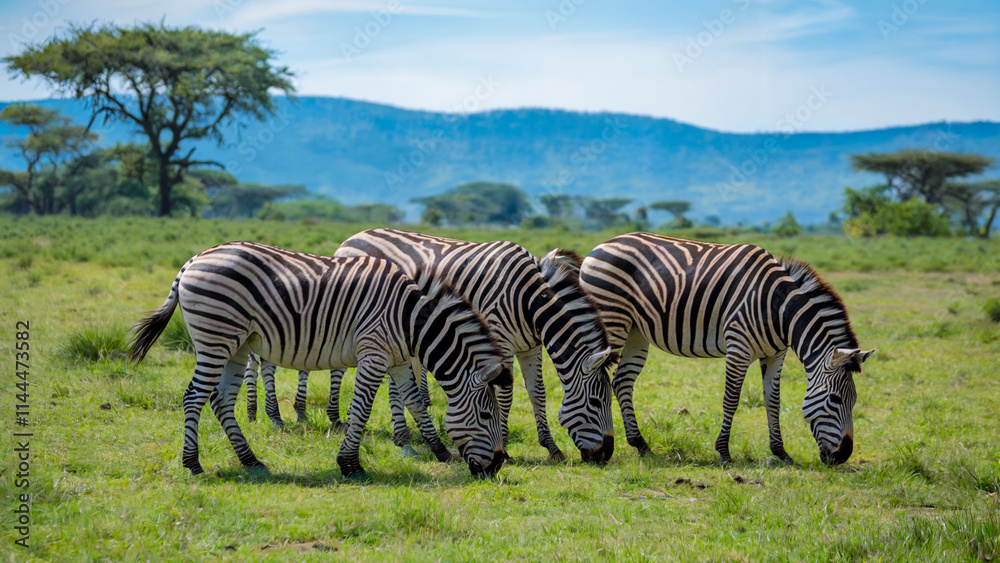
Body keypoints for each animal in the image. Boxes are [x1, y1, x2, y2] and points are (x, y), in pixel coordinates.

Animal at [128, 241, 510, 478]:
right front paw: (350, 465)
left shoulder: (398, 359)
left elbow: (416, 402)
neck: (410, 320)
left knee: (220, 401)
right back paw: (193, 464)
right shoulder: (373, 354)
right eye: (486, 415)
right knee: (194, 396)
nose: (495, 467)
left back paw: (251, 461)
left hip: (236, 346)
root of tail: (192, 260)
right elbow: (361, 409)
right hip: (216, 338)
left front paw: (440, 452)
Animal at [327, 228, 617, 463]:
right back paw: (335, 419)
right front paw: (505, 448)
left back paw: (401, 437)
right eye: (595, 402)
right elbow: (505, 395)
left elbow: (538, 393)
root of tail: (352, 238)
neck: (529, 301)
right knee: (338, 366)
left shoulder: (531, 347)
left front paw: (551, 447)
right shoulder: (501, 340)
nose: (605, 455)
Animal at [578, 233, 874, 466]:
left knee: (622, 381)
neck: (779, 309)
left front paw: (781, 453)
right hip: (611, 318)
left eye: (854, 401)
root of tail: (601, 245)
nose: (843, 456)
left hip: (635, 331)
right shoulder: (738, 347)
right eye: (835, 399)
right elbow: (731, 399)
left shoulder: (775, 354)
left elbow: (773, 401)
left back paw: (641, 445)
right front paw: (723, 453)